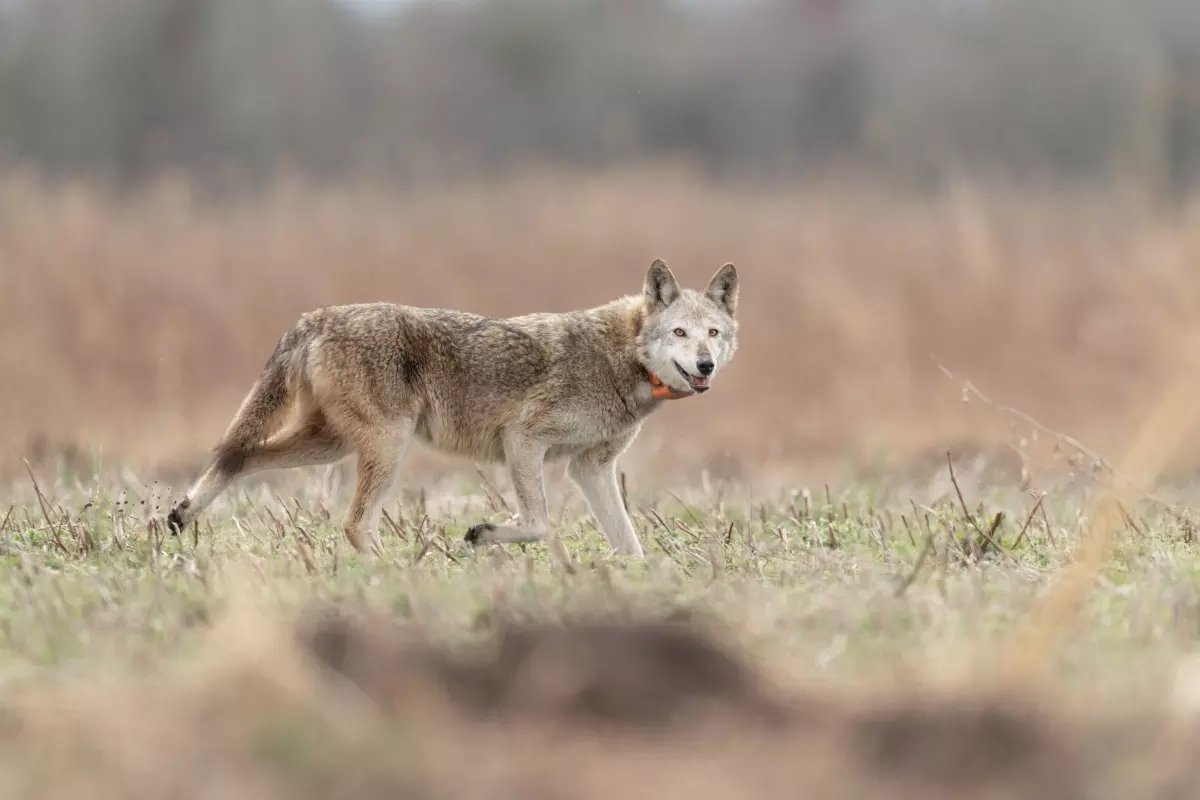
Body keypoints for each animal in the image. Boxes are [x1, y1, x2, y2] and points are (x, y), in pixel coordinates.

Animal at [164, 261, 734, 556]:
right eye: (679, 333)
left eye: (713, 333)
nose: (706, 366)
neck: (623, 360)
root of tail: (316, 317)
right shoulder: (523, 440)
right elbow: (539, 522)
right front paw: (484, 534)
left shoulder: (589, 468)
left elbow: (629, 542)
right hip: (385, 448)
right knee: (352, 524)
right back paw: (399, 574)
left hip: (332, 446)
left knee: (240, 456)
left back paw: (180, 514)